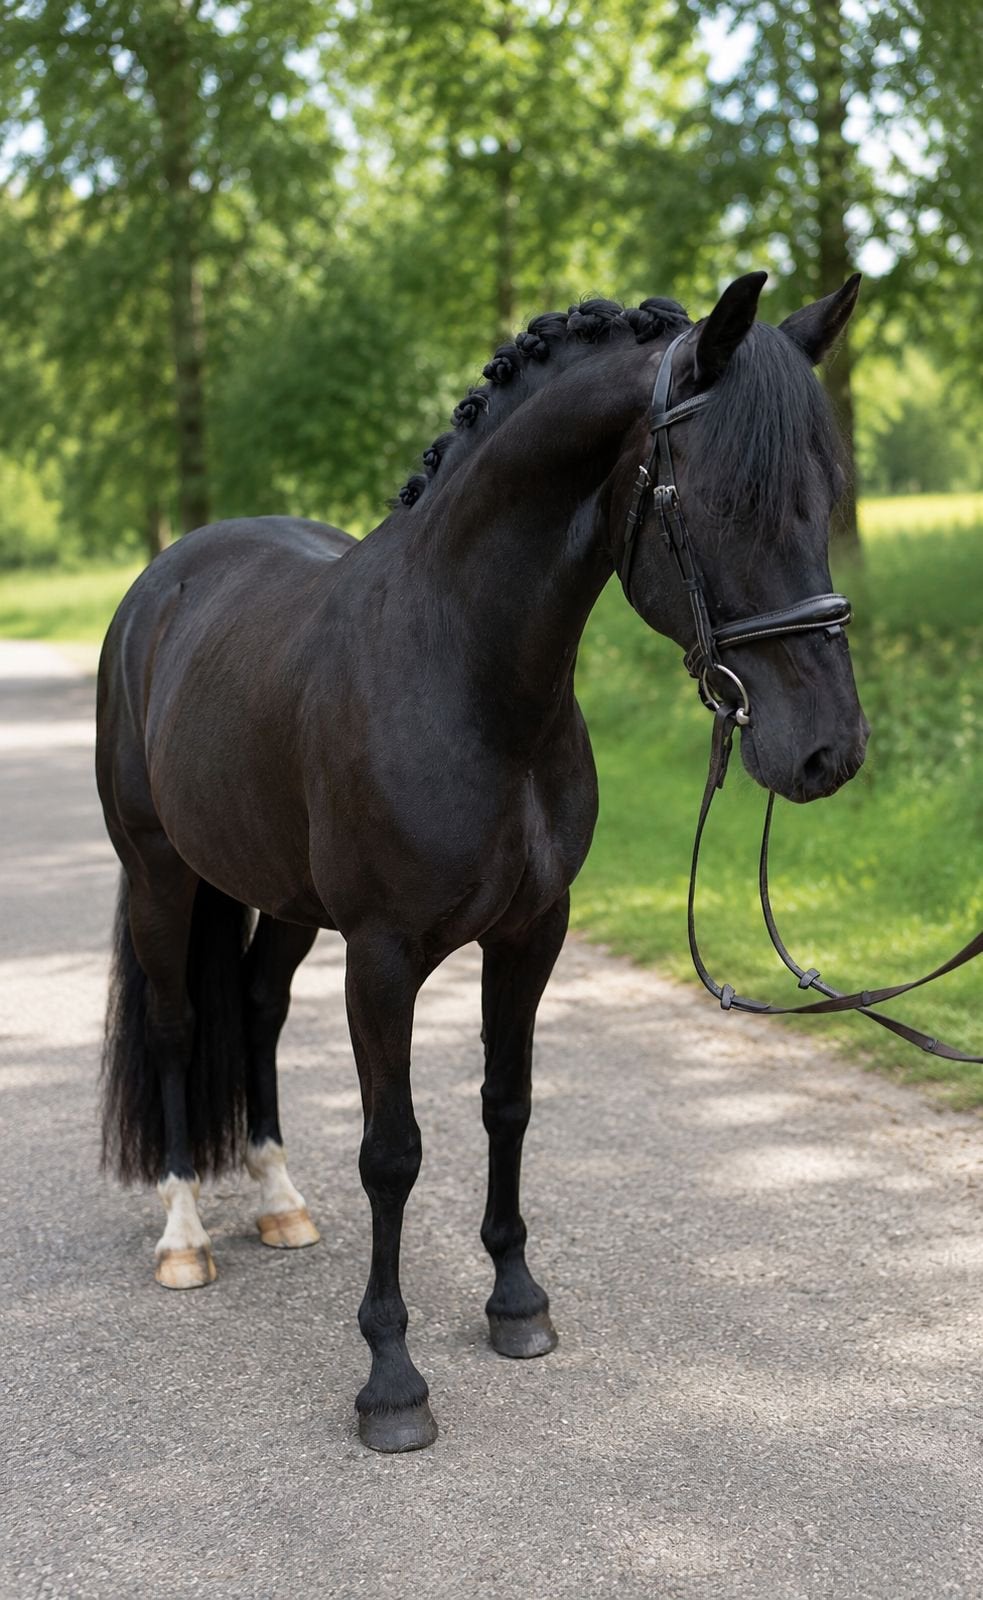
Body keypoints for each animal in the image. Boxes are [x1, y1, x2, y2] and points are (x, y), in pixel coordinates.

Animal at [96, 269, 868, 1453]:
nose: (829, 750)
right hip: (159, 873)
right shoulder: (382, 956)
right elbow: (392, 1150)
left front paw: (515, 1302)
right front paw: (391, 1379)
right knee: (183, 1027)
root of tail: (164, 581)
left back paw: (279, 1203)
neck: (467, 670)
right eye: (723, 500)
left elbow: (507, 1102)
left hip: (282, 899)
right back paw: (185, 1238)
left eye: (823, 494)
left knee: (259, 1010)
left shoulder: (530, 933)